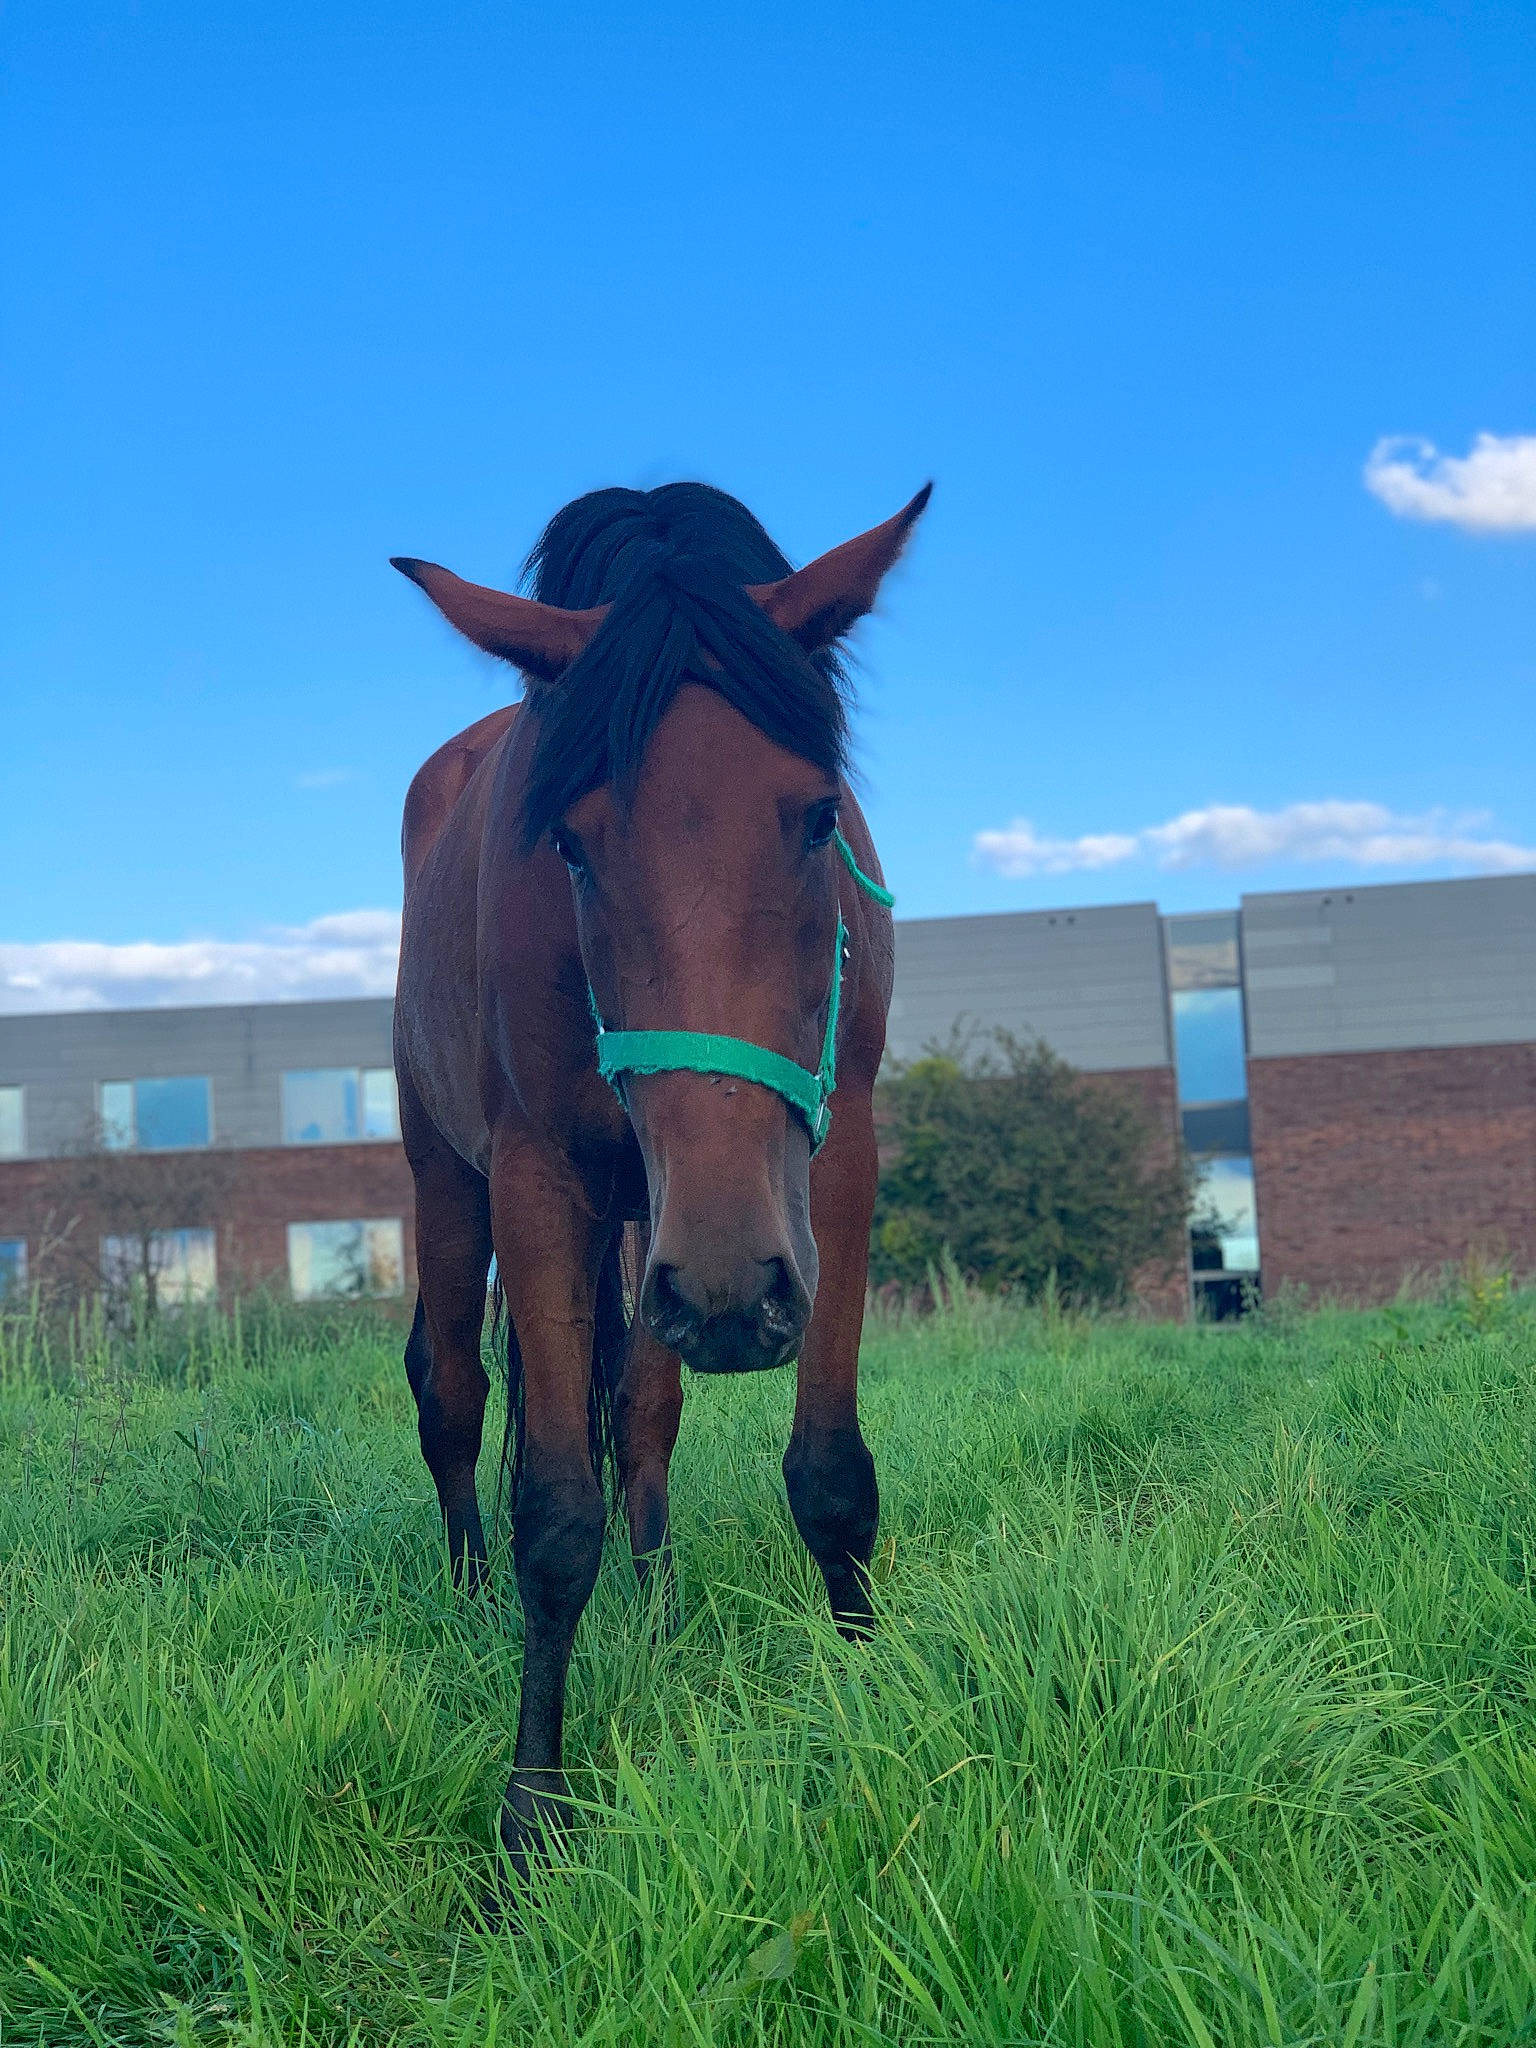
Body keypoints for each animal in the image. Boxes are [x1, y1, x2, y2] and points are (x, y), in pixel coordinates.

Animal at [390, 478, 928, 1875]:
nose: (736, 1294)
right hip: (455, 1177)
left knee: (642, 1406)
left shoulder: (834, 1158)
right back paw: (468, 1596)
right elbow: (554, 1514)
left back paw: (662, 1608)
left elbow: (828, 1472)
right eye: (571, 846)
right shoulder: (542, 1180)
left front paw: (873, 1708)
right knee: (451, 1389)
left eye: (817, 814)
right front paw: (531, 1816)